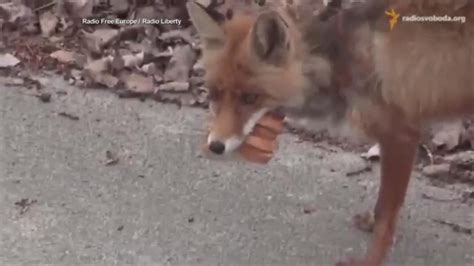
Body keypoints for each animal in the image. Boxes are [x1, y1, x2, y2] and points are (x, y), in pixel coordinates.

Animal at [187, 0, 474, 264]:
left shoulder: (401, 135)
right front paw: (370, 223)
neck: (339, 62)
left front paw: (371, 261)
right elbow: (382, 205)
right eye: (214, 94)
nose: (215, 146)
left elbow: (387, 216)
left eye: (250, 98)